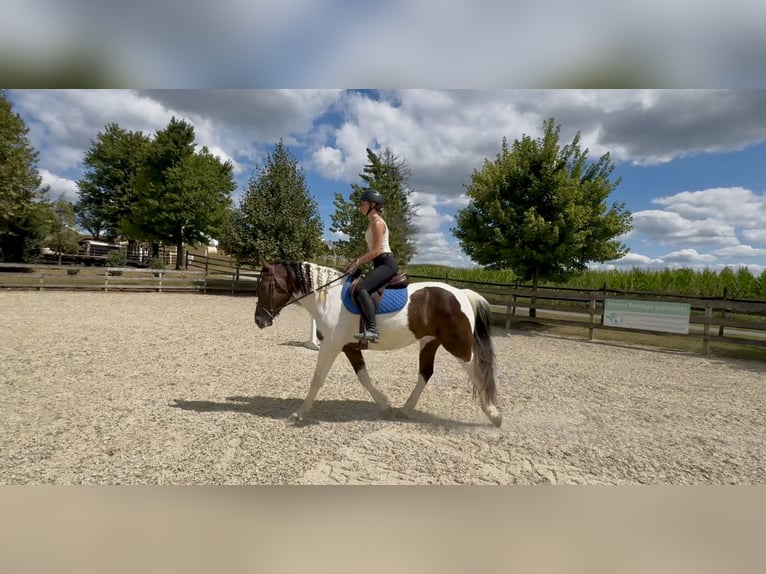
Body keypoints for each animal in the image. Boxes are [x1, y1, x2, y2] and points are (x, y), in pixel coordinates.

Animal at [254, 260, 502, 427]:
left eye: (266, 286)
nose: (259, 320)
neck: (329, 299)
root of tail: (461, 293)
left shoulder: (330, 347)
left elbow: (317, 380)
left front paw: (299, 414)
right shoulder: (349, 347)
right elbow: (363, 377)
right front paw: (385, 404)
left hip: (459, 347)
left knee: (478, 373)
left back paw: (494, 415)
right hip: (429, 342)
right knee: (425, 373)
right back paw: (405, 409)